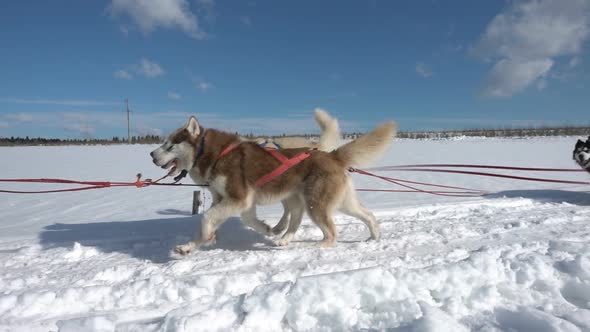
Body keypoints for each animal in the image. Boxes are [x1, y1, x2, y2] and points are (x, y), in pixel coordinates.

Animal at [153, 114, 398, 254]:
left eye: (169, 145)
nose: (151, 154)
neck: (216, 154)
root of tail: (331, 154)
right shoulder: (231, 202)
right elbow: (243, 220)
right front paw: (190, 246)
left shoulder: (238, 198)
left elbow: (206, 218)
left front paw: (206, 238)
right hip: (328, 202)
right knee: (365, 215)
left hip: (315, 204)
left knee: (331, 233)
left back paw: (317, 247)